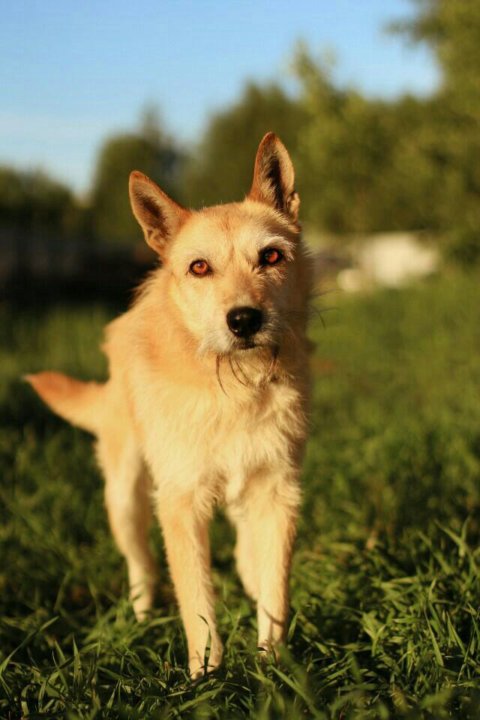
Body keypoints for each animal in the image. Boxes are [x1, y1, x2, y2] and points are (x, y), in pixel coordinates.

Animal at [28, 132, 314, 676]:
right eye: (199, 267)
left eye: (271, 257)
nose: (243, 319)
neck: (234, 388)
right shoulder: (180, 503)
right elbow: (197, 601)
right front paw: (206, 676)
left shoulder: (277, 492)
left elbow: (278, 591)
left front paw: (273, 668)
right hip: (126, 496)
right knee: (140, 563)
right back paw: (141, 617)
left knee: (245, 551)